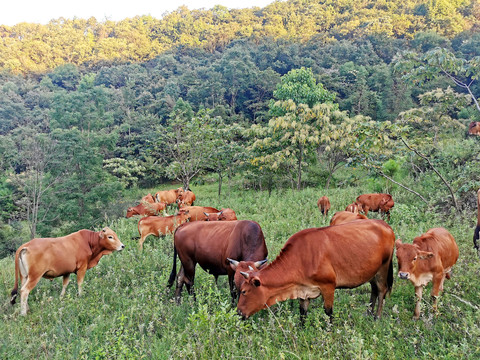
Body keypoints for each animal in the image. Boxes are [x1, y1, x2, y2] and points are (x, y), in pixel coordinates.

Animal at [235, 219, 394, 320]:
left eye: (244, 292)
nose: (238, 312)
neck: (300, 259)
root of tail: (385, 224)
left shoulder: (328, 286)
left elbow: (328, 313)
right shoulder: (302, 290)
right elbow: (302, 314)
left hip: (383, 268)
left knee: (381, 291)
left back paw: (377, 317)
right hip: (372, 272)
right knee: (374, 290)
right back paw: (368, 313)